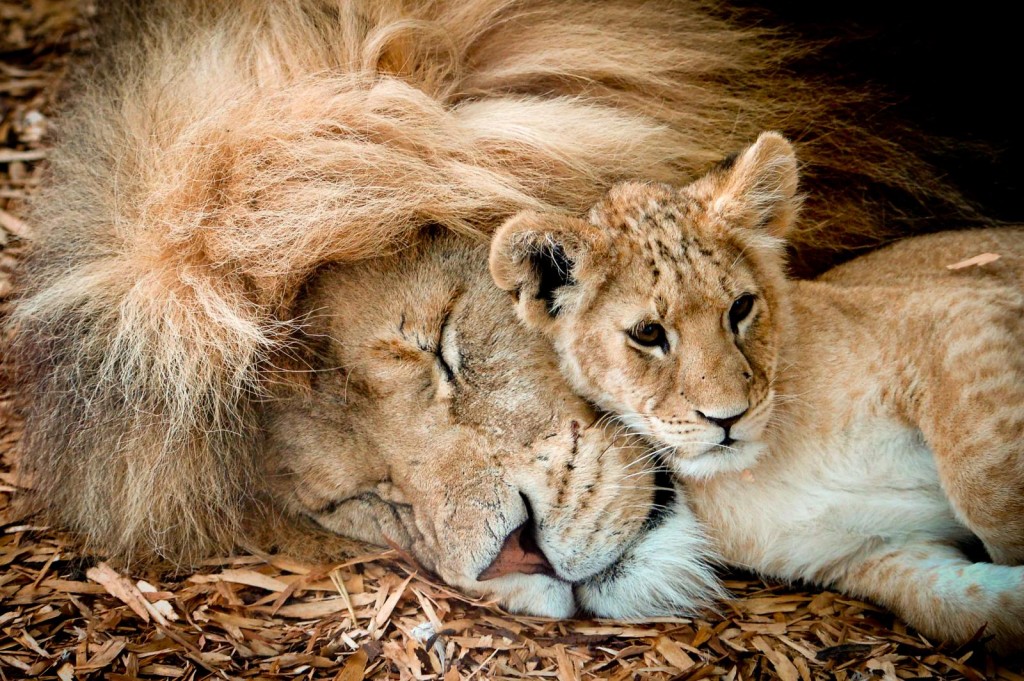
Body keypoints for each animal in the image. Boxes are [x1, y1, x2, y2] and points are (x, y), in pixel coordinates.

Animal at [488, 132, 1024, 649]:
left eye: (741, 307)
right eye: (648, 333)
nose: (727, 418)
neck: (759, 470)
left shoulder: (956, 312)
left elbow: (986, 490)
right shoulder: (876, 552)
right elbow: (963, 609)